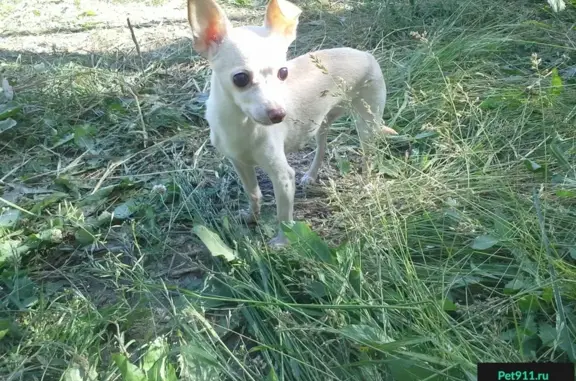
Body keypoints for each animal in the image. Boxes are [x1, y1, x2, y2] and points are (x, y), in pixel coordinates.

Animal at [188, 0, 396, 246]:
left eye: (283, 72)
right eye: (240, 78)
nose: (279, 114)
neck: (240, 124)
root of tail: (365, 54)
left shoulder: (283, 177)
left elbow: (283, 216)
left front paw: (282, 243)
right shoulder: (240, 163)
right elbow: (253, 193)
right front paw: (251, 217)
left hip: (367, 124)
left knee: (368, 156)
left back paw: (367, 182)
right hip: (320, 124)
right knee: (322, 147)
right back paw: (311, 175)